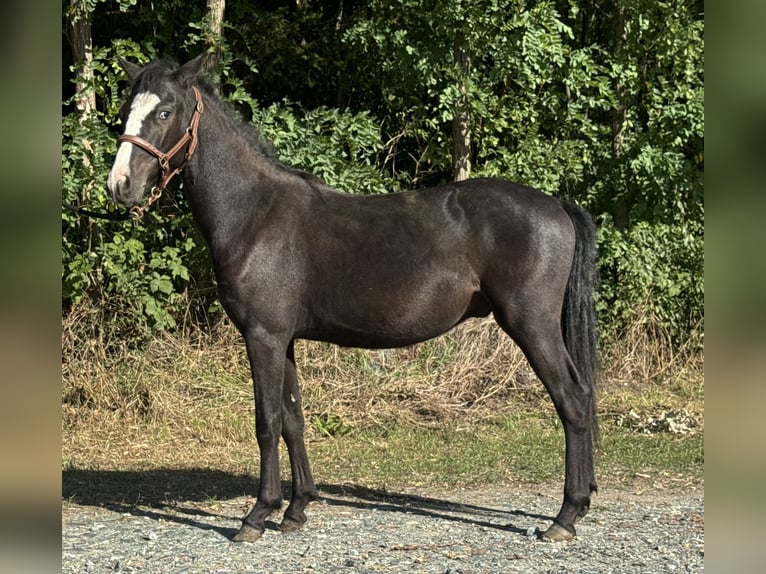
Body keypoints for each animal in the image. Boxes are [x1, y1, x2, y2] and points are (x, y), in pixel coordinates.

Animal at [107, 54, 599, 543]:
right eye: (125, 112)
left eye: (164, 112)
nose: (120, 185)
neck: (256, 213)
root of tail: (556, 205)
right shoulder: (284, 340)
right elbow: (293, 420)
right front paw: (296, 509)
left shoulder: (262, 337)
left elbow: (267, 422)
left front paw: (258, 515)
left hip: (531, 325)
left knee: (572, 400)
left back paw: (565, 517)